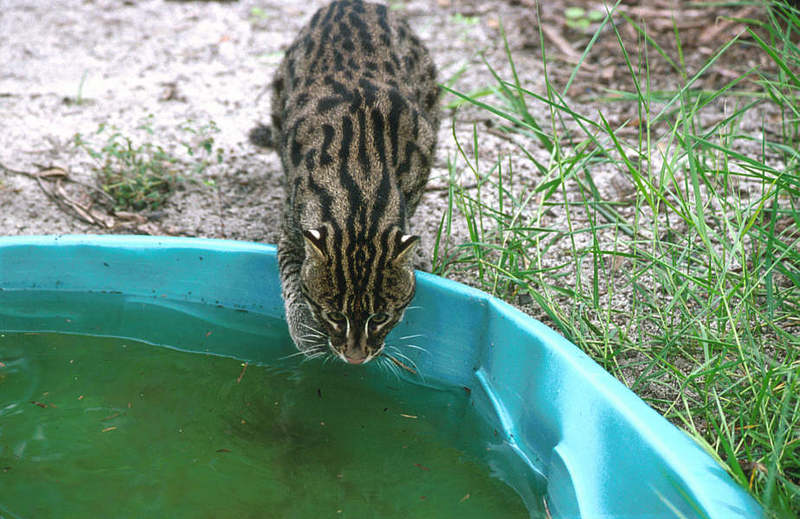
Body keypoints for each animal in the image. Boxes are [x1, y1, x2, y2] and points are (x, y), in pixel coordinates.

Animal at [253, 1, 440, 366]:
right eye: (334, 316)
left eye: (380, 317)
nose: (355, 358)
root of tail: (352, 3)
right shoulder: (293, 225)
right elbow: (291, 275)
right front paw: (305, 331)